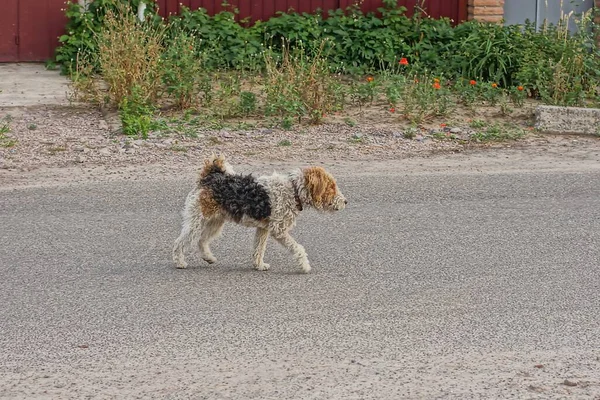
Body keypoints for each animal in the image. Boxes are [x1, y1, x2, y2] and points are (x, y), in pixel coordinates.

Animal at [171, 155, 346, 274]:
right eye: (331, 186)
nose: (345, 202)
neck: (294, 190)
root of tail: (209, 177)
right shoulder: (278, 230)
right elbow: (298, 248)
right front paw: (305, 266)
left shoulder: (263, 229)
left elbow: (258, 249)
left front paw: (259, 265)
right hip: (197, 221)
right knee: (179, 243)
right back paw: (179, 262)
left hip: (215, 222)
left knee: (202, 241)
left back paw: (209, 258)